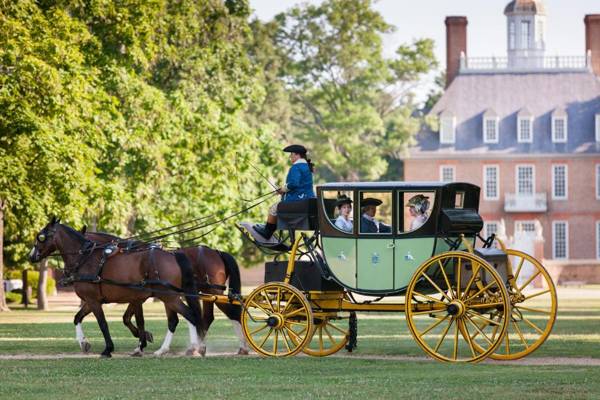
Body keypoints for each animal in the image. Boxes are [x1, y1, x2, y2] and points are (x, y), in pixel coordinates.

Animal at [29, 220, 206, 358]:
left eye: (41, 236)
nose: (31, 256)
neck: (85, 258)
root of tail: (173, 254)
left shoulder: (95, 300)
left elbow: (103, 323)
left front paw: (109, 349)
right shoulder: (96, 300)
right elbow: (78, 317)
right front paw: (84, 342)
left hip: (169, 297)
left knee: (190, 315)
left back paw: (196, 347)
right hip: (168, 296)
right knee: (177, 319)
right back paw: (169, 349)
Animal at [79, 230, 248, 354]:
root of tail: (217, 252)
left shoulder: (137, 297)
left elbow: (129, 318)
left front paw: (142, 340)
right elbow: (128, 318)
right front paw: (143, 338)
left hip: (210, 291)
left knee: (231, 313)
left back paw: (240, 346)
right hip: (205, 293)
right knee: (206, 317)